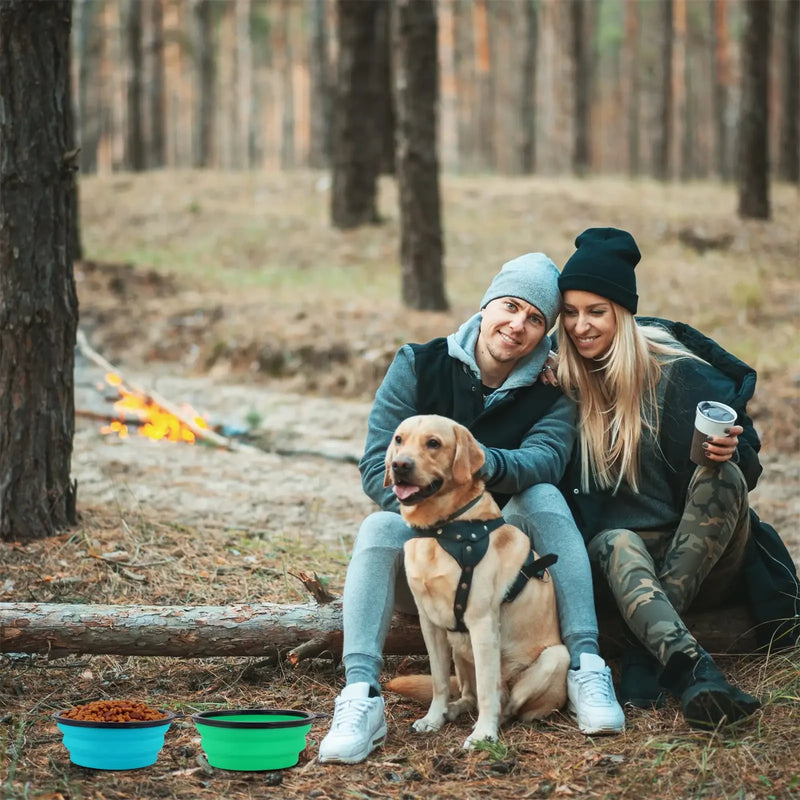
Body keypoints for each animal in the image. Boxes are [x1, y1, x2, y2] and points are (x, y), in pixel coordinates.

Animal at [382, 416, 564, 748]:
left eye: (433, 443)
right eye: (399, 439)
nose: (400, 465)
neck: (443, 530)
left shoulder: (481, 623)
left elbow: (489, 692)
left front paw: (483, 734)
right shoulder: (431, 623)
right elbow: (440, 681)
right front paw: (433, 717)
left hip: (555, 657)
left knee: (506, 701)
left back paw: (490, 724)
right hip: (459, 649)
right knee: (470, 694)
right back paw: (453, 710)